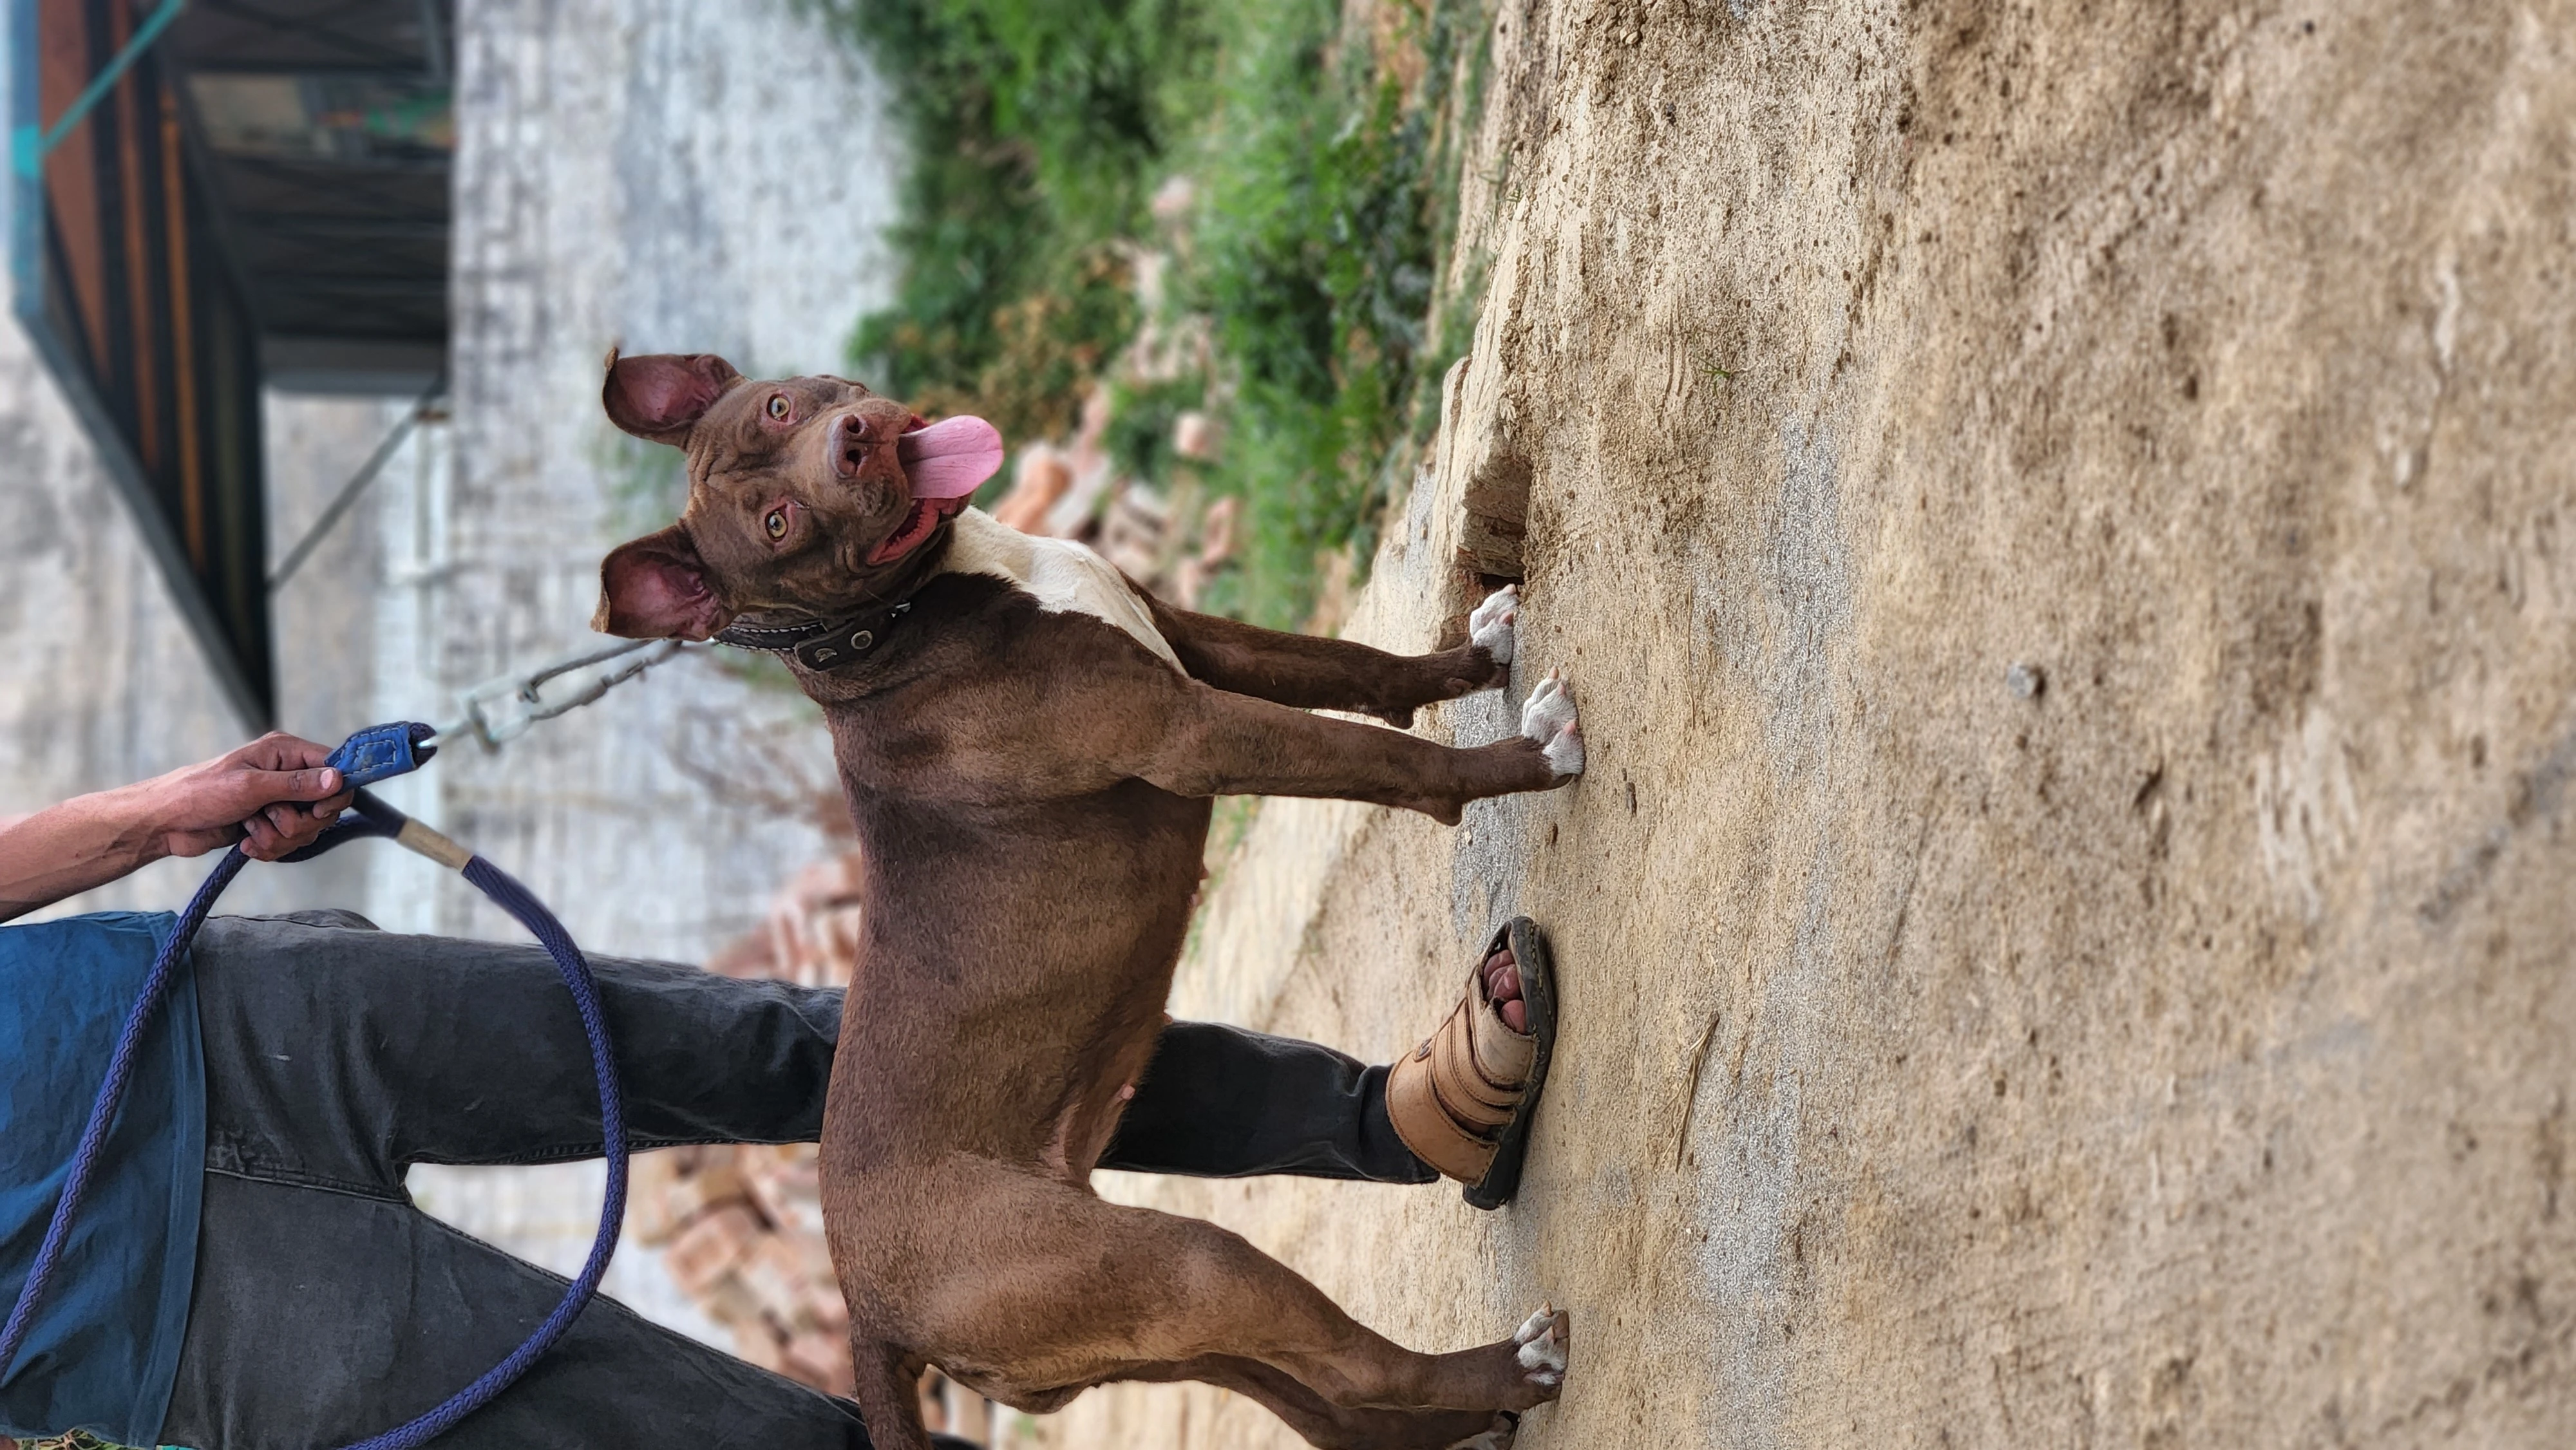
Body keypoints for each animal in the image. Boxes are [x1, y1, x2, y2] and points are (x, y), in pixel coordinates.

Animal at [592, 355, 1577, 1450]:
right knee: (1358, 1366)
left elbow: (1357, 671)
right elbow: (1378, 754)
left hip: (1159, 1334)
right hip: (1184, 1268)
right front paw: (1525, 761)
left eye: (779, 407)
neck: (902, 614)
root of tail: (867, 1315)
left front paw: (1479, 655)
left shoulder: (1192, 642)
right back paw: (1520, 1368)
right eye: (775, 523)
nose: (849, 442)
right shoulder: (1194, 732)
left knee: (1333, 1408)